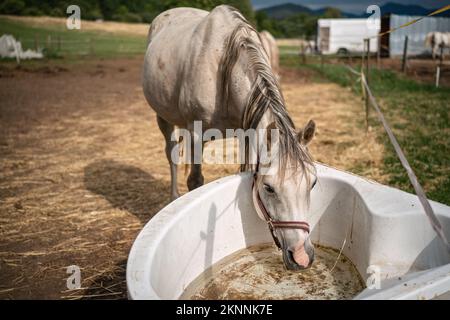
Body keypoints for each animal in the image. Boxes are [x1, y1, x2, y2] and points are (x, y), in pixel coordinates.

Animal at [143, 5, 316, 270]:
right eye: (269, 188)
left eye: (313, 183)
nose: (301, 257)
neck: (224, 67)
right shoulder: (196, 135)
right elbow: (195, 181)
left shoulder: (247, 134)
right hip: (163, 117)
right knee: (171, 155)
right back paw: (173, 198)